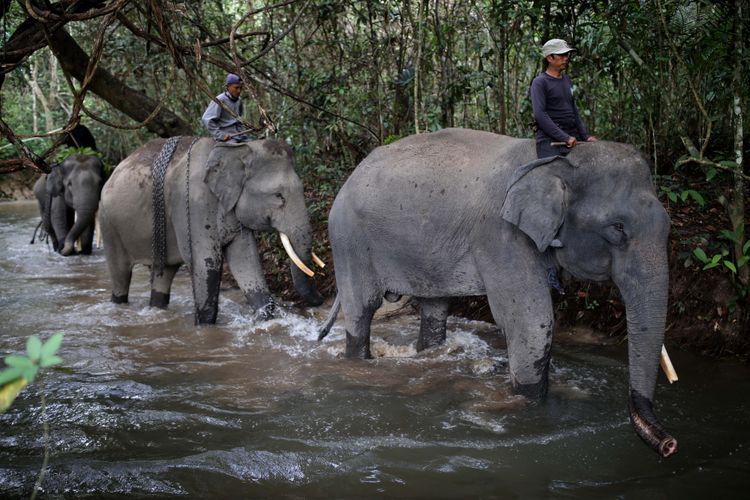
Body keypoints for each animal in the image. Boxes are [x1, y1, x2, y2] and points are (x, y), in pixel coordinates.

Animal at [98, 137, 324, 324]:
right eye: (278, 195)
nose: (320, 300)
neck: (236, 148)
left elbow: (245, 259)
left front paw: (267, 320)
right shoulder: (193, 204)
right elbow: (207, 263)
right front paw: (205, 327)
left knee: (163, 275)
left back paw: (157, 308)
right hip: (109, 226)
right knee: (120, 274)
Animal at [320, 128, 684, 458]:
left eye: (668, 227)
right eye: (617, 228)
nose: (669, 444)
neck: (555, 162)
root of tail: (351, 175)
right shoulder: (500, 235)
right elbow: (533, 320)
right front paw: (530, 405)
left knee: (435, 307)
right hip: (348, 239)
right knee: (362, 309)